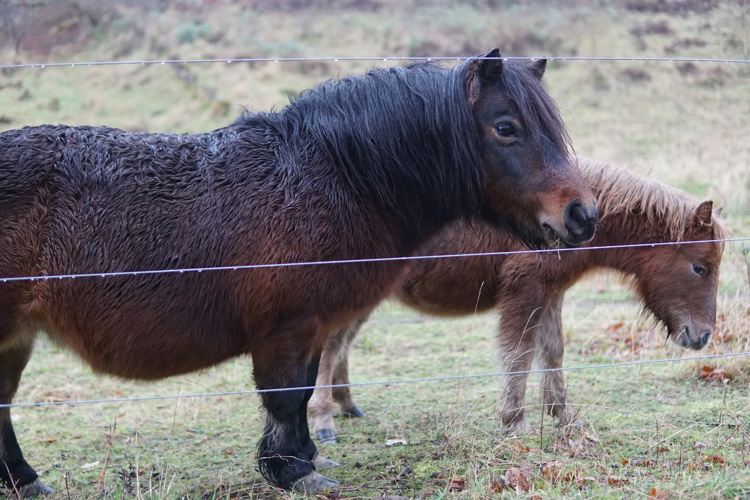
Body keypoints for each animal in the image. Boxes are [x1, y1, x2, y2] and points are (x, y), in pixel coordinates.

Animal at [0, 51, 600, 496]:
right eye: (506, 128)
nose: (582, 214)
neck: (333, 178)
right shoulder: (288, 326)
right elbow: (287, 395)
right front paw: (293, 471)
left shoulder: (313, 326)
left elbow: (305, 389)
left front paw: (303, 458)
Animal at [310, 156, 728, 442]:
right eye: (700, 267)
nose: (702, 337)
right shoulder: (525, 292)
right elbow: (520, 354)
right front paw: (515, 422)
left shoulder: (551, 292)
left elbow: (552, 350)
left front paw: (564, 415)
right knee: (329, 346)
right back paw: (323, 419)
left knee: (341, 343)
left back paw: (347, 405)